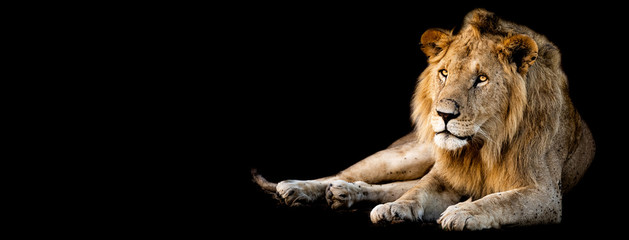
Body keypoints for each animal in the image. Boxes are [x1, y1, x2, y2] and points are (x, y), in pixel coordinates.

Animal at [250, 8, 592, 231]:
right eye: (444, 73)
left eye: (481, 79)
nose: (443, 114)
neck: (482, 144)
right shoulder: (444, 177)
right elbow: (417, 192)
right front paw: (397, 209)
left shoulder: (544, 193)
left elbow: (501, 201)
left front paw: (462, 212)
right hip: (406, 155)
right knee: (346, 174)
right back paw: (298, 188)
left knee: (383, 184)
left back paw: (346, 194)